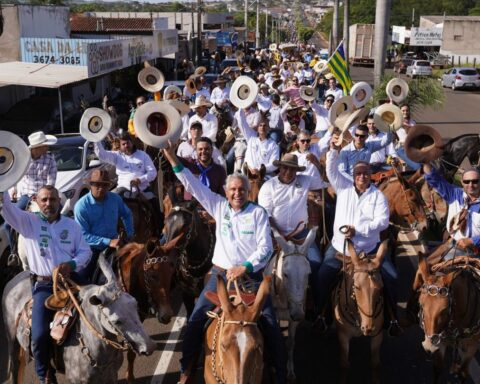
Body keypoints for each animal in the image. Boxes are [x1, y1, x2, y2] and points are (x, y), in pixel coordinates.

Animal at [264, 226, 316, 380]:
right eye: (285, 274)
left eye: (308, 274)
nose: (298, 314)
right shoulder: (275, 316)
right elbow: (279, 339)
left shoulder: (293, 320)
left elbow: (290, 342)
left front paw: (290, 371)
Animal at [334, 238, 390, 382]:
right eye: (357, 287)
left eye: (381, 287)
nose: (368, 328)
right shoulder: (342, 336)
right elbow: (344, 365)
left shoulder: (377, 336)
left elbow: (375, 364)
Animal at [412, 254, 480, 382]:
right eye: (420, 304)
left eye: (444, 309)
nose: (429, 346)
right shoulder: (441, 341)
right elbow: (438, 369)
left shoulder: (471, 347)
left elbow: (463, 373)